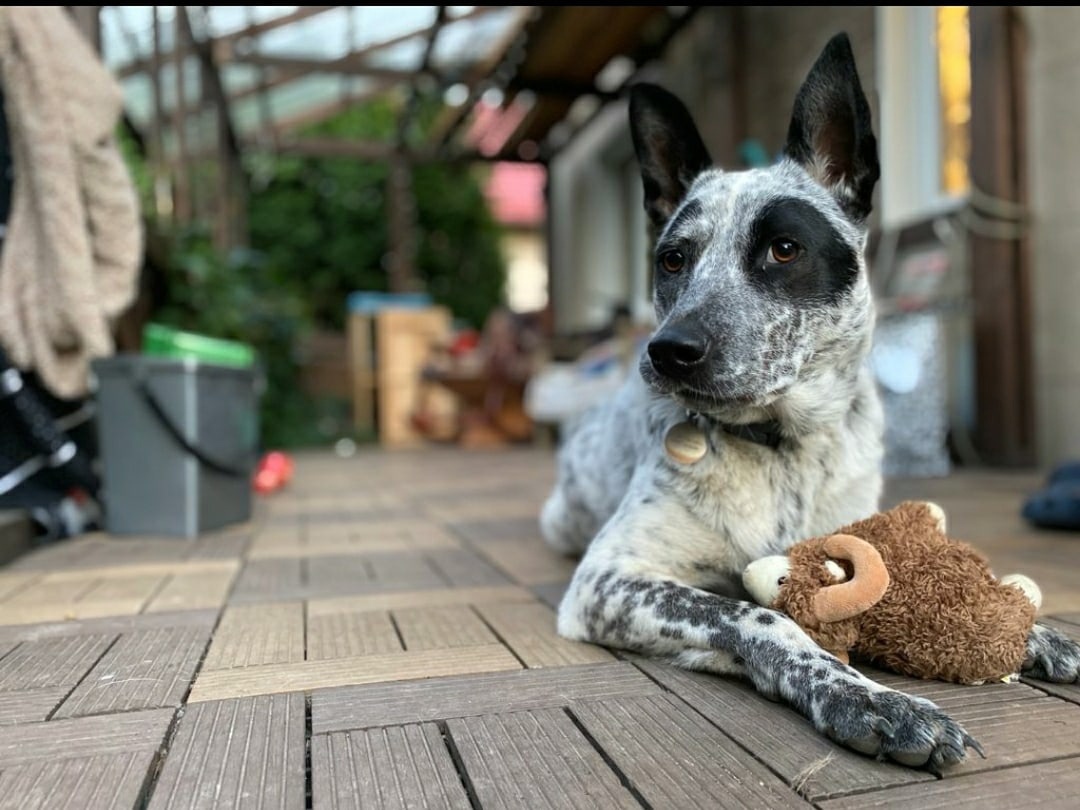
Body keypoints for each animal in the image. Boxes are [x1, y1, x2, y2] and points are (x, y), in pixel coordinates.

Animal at [540, 33, 1080, 773]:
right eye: (673, 259)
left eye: (784, 249)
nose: (667, 351)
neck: (779, 448)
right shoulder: (607, 579)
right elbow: (762, 614)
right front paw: (870, 699)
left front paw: (1036, 632)